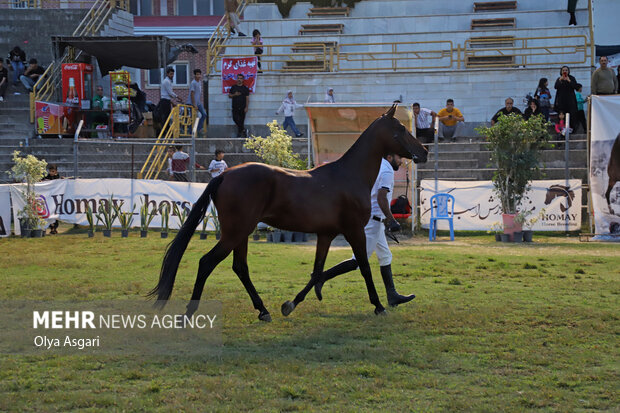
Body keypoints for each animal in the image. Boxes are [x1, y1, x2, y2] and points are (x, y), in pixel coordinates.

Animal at [150, 102, 428, 318]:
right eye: (401, 129)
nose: (424, 151)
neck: (349, 175)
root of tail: (224, 175)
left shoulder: (326, 234)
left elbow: (317, 271)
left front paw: (291, 304)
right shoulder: (354, 231)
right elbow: (364, 267)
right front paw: (379, 305)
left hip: (242, 233)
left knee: (240, 267)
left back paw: (263, 310)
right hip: (235, 233)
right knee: (207, 262)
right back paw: (189, 314)